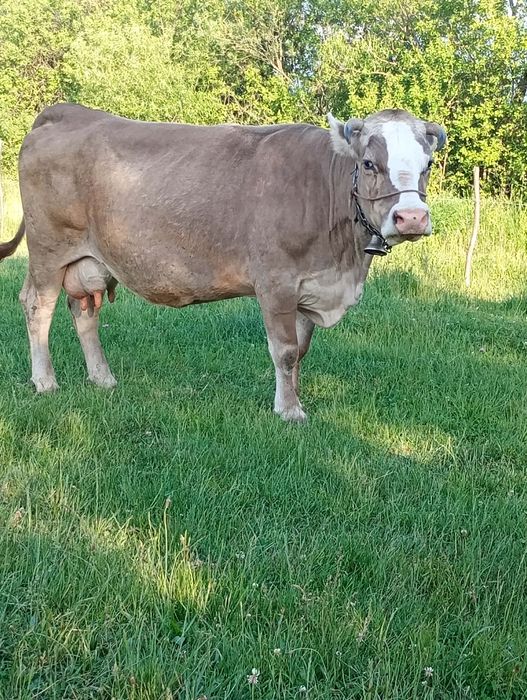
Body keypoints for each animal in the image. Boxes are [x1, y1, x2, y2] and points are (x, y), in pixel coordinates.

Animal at [0, 104, 446, 421]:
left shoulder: (310, 285)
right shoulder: (276, 282)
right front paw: (289, 411)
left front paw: (293, 397)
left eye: (426, 166)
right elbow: (285, 350)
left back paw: (102, 377)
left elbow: (301, 351)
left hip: (90, 259)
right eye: (369, 164)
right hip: (49, 250)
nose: (412, 218)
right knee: (38, 306)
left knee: (84, 312)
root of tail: (69, 111)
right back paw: (45, 381)